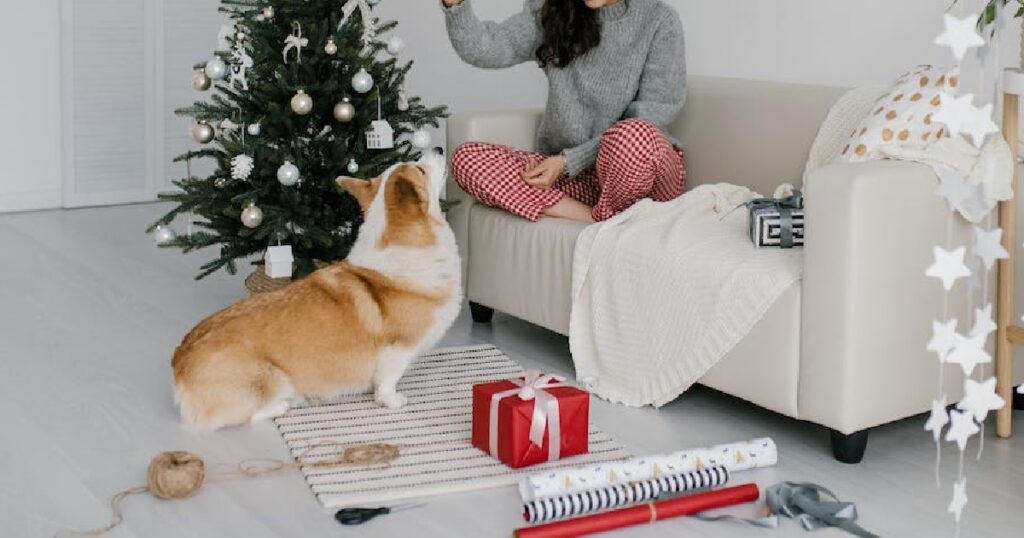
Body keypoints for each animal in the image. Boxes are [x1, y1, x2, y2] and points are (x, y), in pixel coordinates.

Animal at [173, 149, 464, 432]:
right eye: (421, 169)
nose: (440, 148)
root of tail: (178, 367)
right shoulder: (399, 347)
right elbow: (388, 380)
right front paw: (392, 401)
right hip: (272, 379)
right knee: (247, 415)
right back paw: (287, 404)